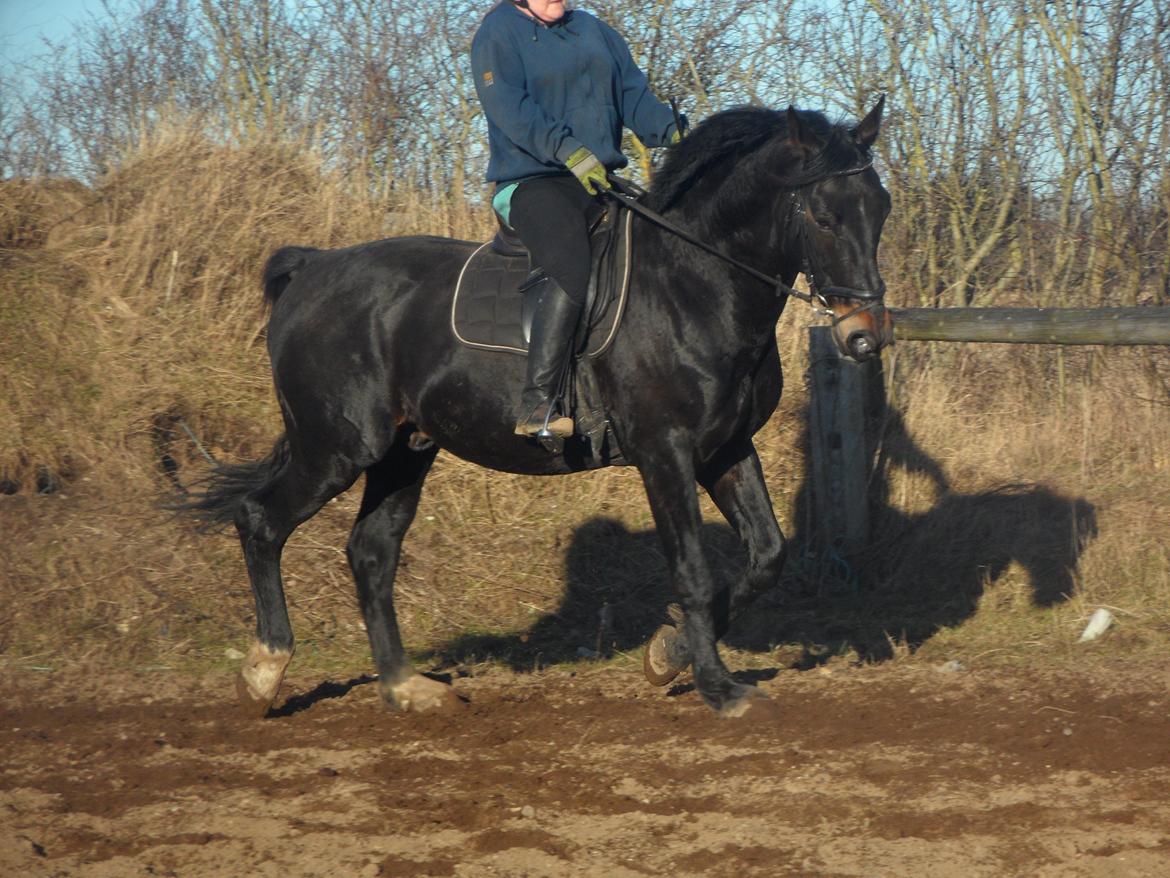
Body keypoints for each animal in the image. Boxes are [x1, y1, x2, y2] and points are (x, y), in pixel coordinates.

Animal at [191, 101, 889, 721]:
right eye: (824, 216)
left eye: (878, 208)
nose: (864, 337)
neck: (695, 284)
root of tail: (312, 269)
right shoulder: (664, 452)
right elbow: (691, 569)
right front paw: (718, 688)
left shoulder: (725, 448)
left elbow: (766, 555)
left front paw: (668, 653)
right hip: (336, 447)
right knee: (261, 521)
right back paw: (265, 672)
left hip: (403, 451)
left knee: (371, 552)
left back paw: (406, 687)